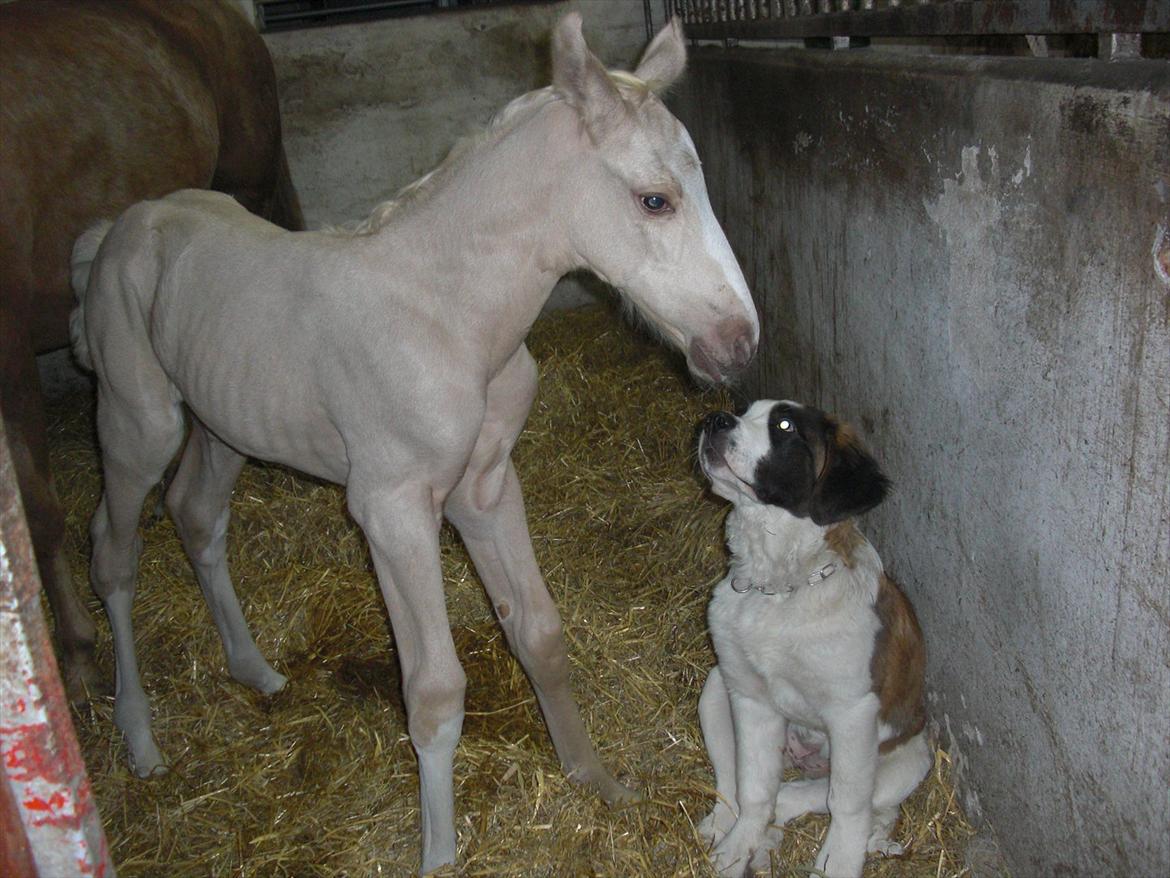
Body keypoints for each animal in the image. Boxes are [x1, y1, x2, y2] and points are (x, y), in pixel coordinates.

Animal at [692, 402, 931, 878]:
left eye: (784, 426)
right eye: (745, 412)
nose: (715, 419)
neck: (781, 587)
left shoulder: (853, 713)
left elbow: (848, 804)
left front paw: (838, 862)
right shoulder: (751, 699)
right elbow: (753, 785)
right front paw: (737, 848)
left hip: (910, 759)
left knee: (832, 797)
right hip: (715, 686)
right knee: (735, 782)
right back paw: (729, 828)